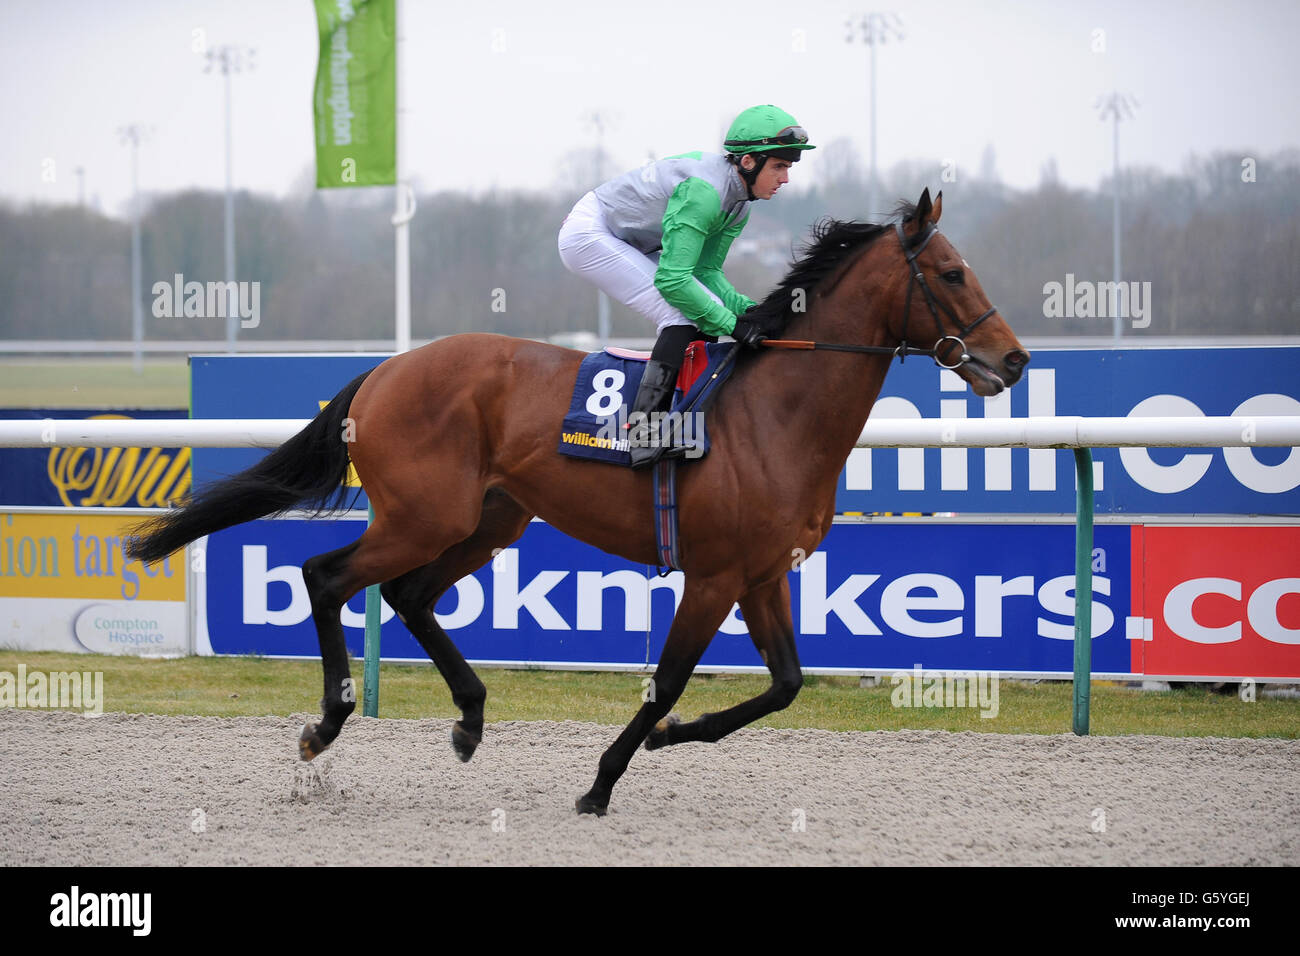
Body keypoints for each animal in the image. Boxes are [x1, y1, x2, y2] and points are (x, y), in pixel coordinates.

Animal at [129, 187, 1024, 816]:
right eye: (951, 273)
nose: (1013, 360)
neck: (776, 415)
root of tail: (384, 370)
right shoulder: (714, 576)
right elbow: (669, 679)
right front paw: (602, 782)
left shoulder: (764, 574)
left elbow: (786, 685)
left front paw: (670, 739)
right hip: (424, 516)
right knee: (326, 576)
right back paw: (325, 725)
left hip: (490, 519)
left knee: (407, 594)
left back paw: (470, 719)